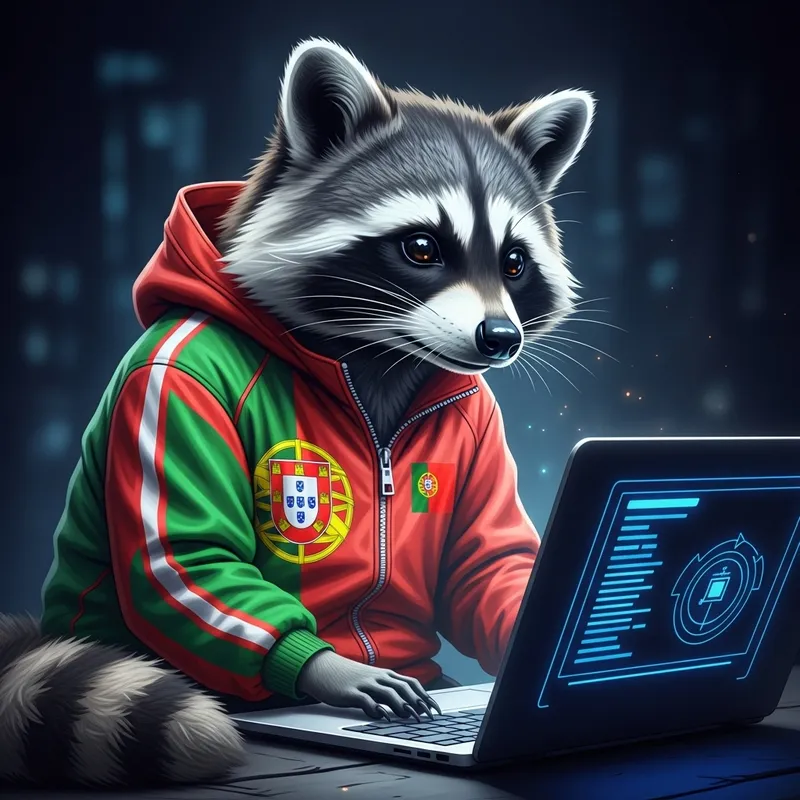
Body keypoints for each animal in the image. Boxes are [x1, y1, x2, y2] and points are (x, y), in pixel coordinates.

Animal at [1, 38, 594, 789]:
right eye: (422, 247)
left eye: (514, 263)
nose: (500, 338)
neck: (373, 356)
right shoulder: (171, 383)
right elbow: (188, 553)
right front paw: (330, 667)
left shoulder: (477, 412)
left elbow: (483, 557)